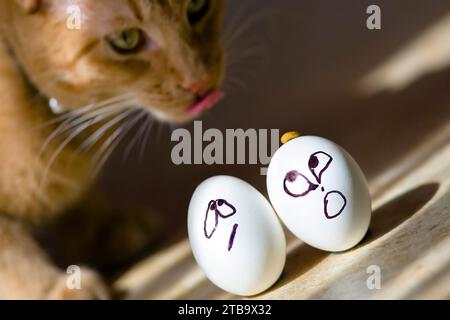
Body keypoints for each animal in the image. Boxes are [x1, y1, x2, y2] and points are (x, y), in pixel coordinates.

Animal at [0, 0, 225, 298]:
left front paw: (103, 229)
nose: (201, 82)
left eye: (198, 6)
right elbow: (12, 256)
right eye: (126, 39)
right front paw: (53, 288)